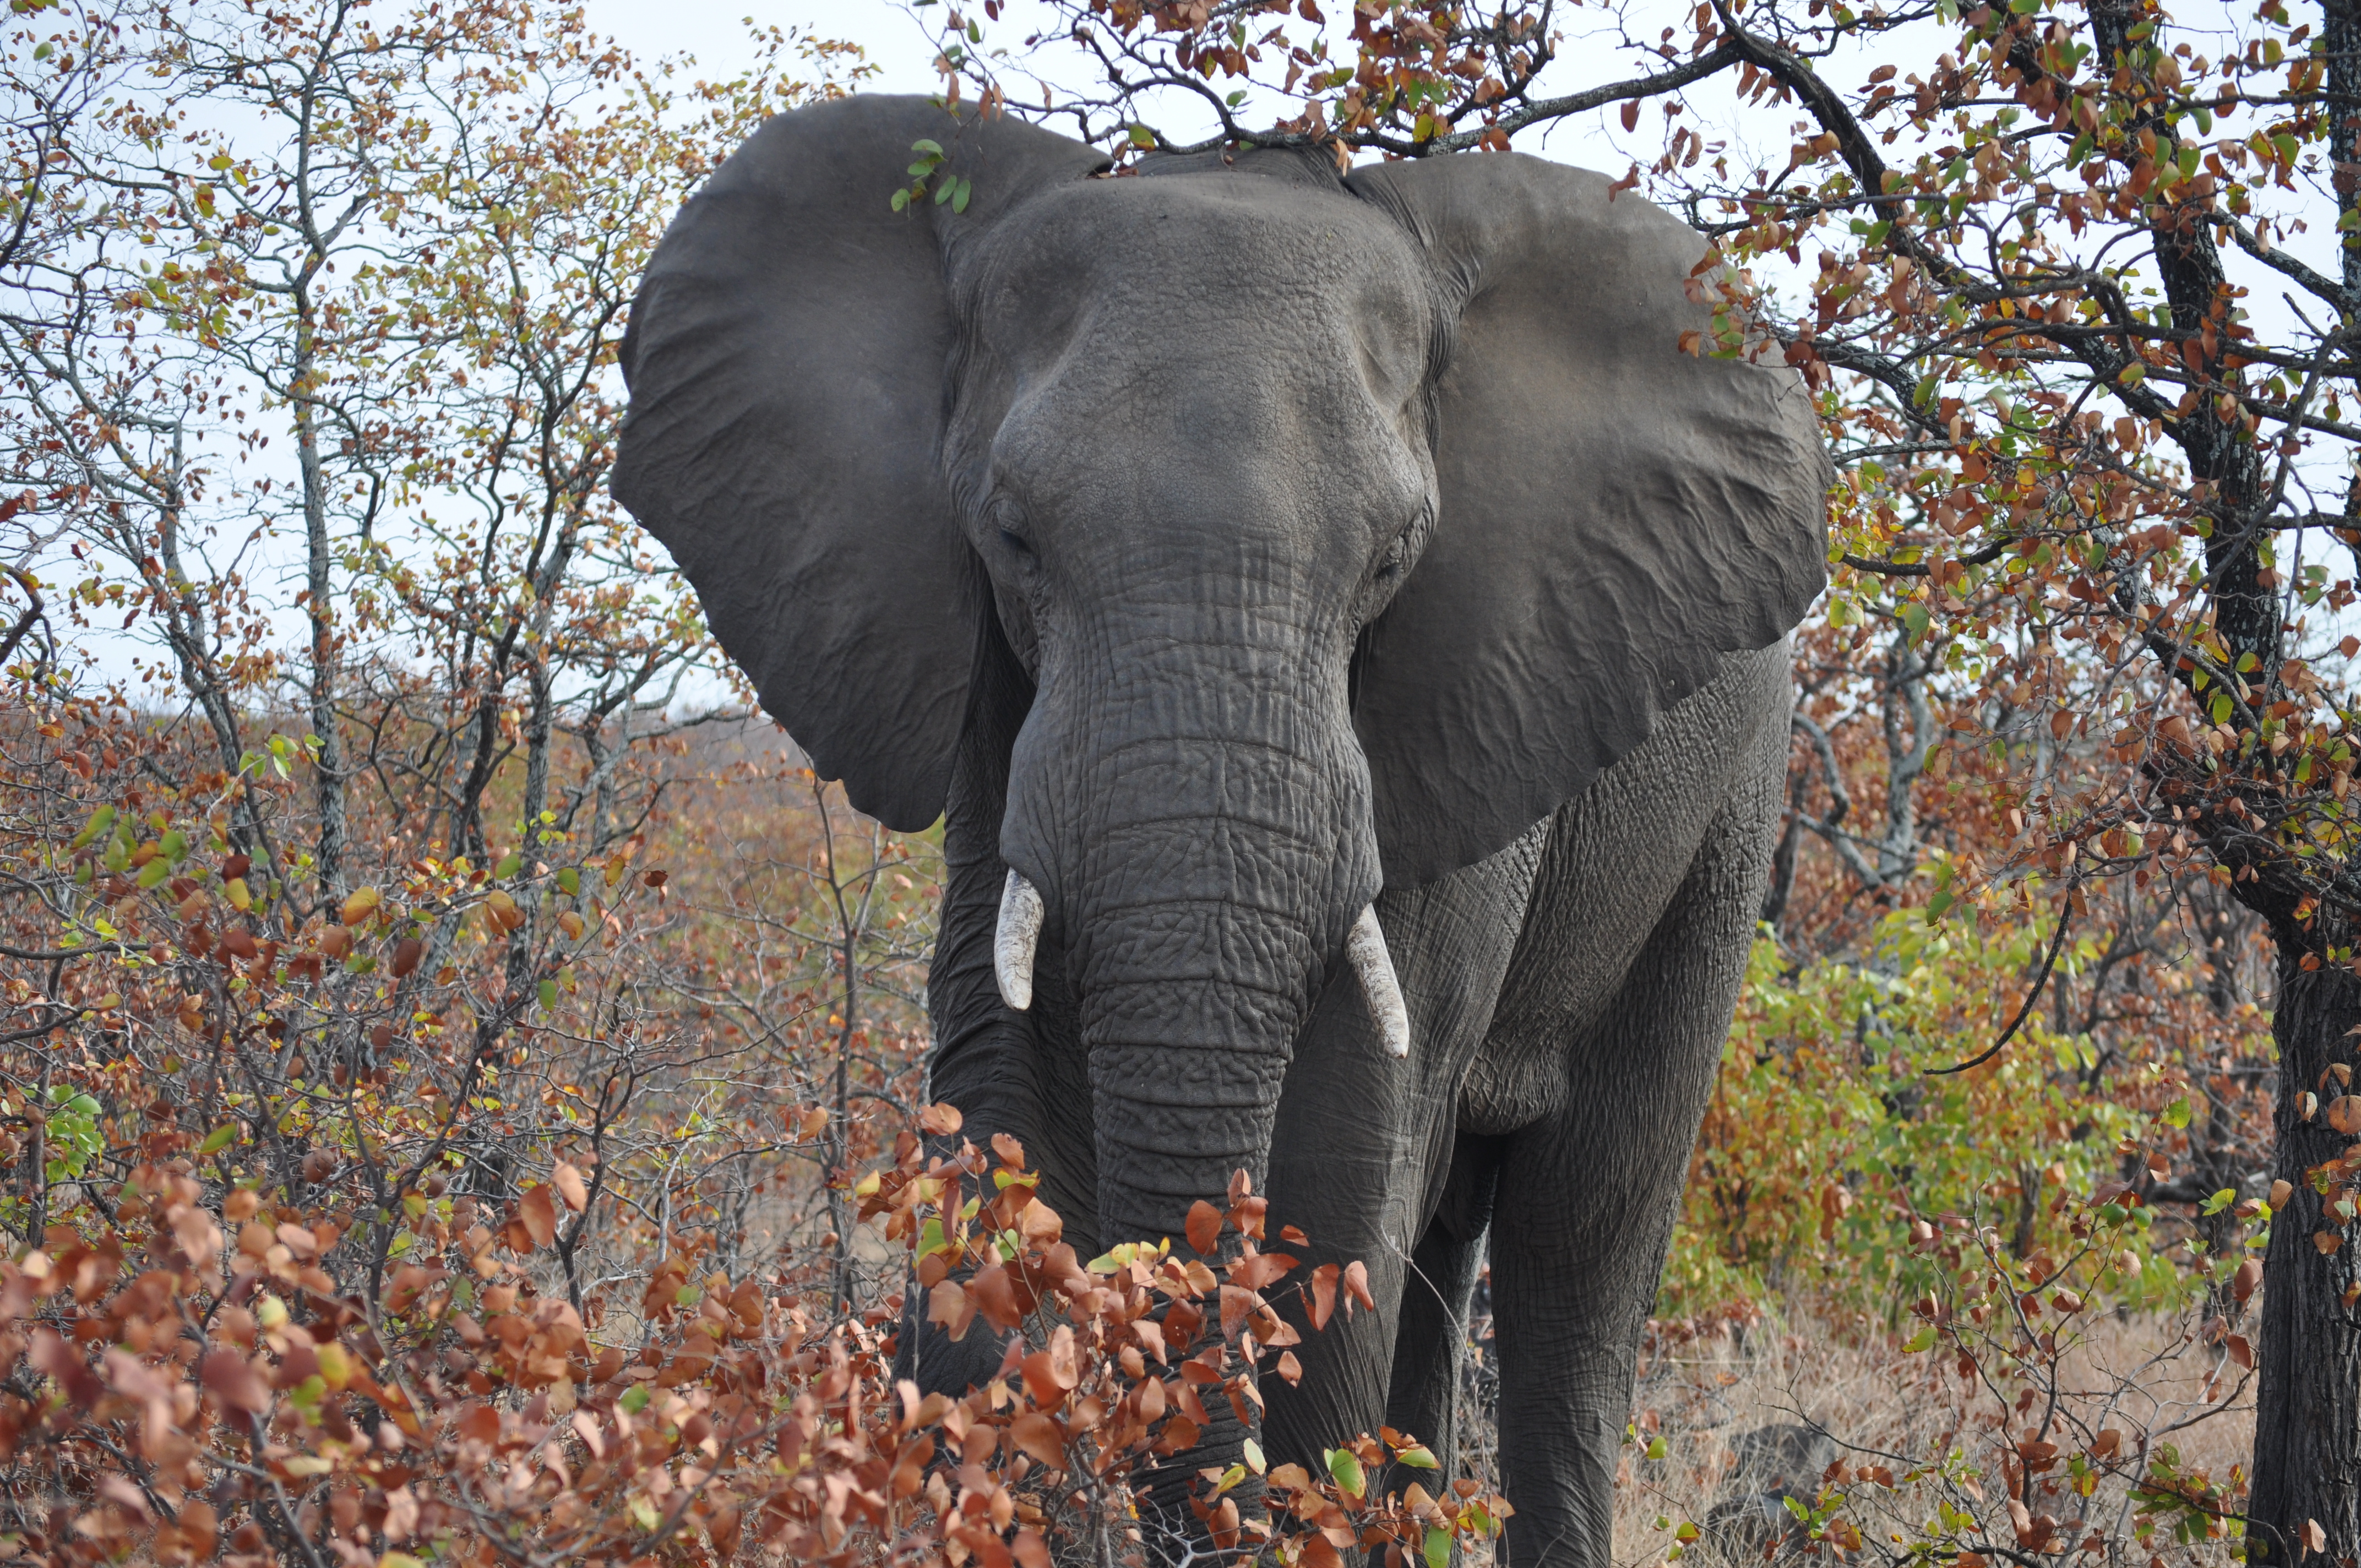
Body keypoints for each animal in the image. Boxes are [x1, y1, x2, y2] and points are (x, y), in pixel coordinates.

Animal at [612, 95, 1830, 1566]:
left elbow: (1345, 1135)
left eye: (1391, 560)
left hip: (1726, 815)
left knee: (1579, 1247)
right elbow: (999, 1085)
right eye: (1011, 538)